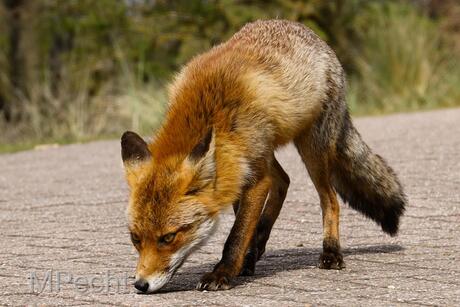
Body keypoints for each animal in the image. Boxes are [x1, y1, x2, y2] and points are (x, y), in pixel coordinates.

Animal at [120, 19, 404, 294]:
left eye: (168, 237)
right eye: (135, 238)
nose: (141, 285)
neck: (212, 112)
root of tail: (314, 37)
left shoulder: (254, 179)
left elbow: (236, 234)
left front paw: (222, 273)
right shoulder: (238, 170)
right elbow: (245, 224)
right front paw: (245, 258)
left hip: (311, 149)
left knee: (330, 200)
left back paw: (331, 252)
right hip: (266, 152)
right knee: (284, 181)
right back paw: (257, 246)